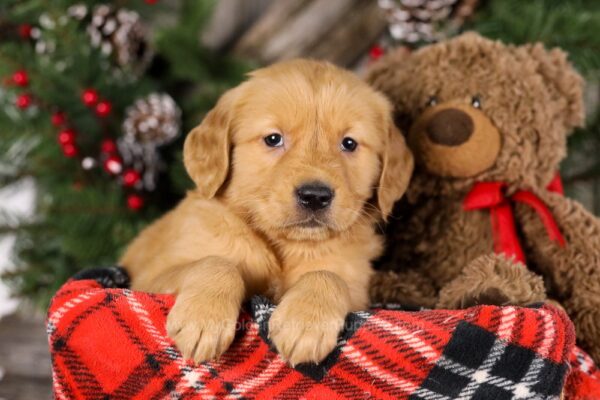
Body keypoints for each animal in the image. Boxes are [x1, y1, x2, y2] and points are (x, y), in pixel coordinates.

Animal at [120, 58, 414, 366]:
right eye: (273, 139)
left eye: (349, 143)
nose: (315, 196)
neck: (282, 245)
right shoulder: (151, 276)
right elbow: (215, 263)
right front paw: (203, 318)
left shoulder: (356, 287)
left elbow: (328, 276)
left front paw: (305, 323)